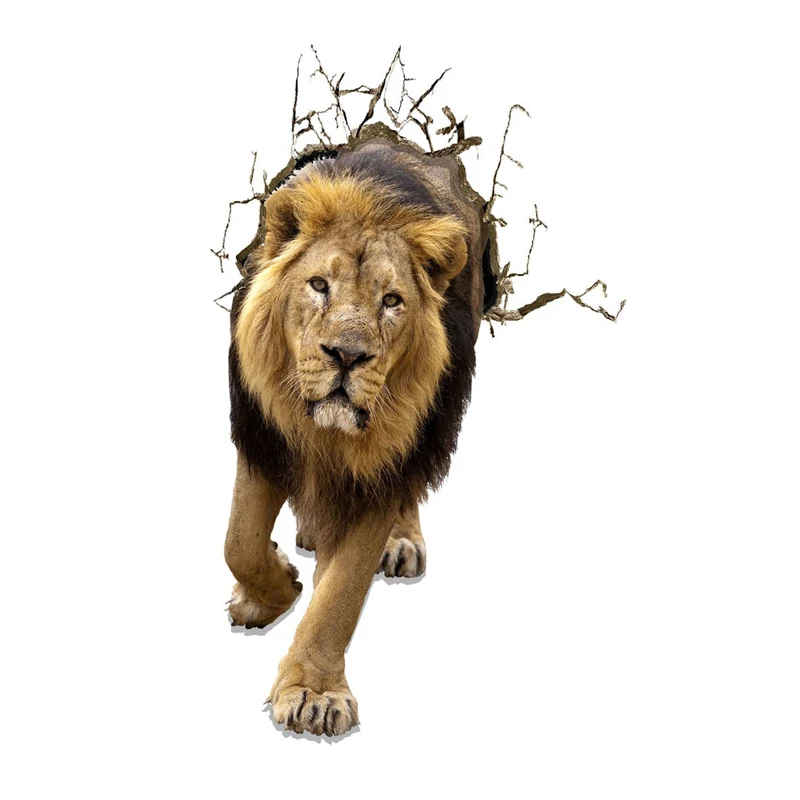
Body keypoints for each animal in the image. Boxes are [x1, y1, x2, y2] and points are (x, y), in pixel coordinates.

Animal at [224, 125, 494, 736]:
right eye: (319, 285)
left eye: (391, 301)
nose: (347, 355)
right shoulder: (262, 437)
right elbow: (240, 542)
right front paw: (272, 591)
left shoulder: (383, 468)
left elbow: (342, 591)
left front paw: (313, 692)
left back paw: (398, 542)